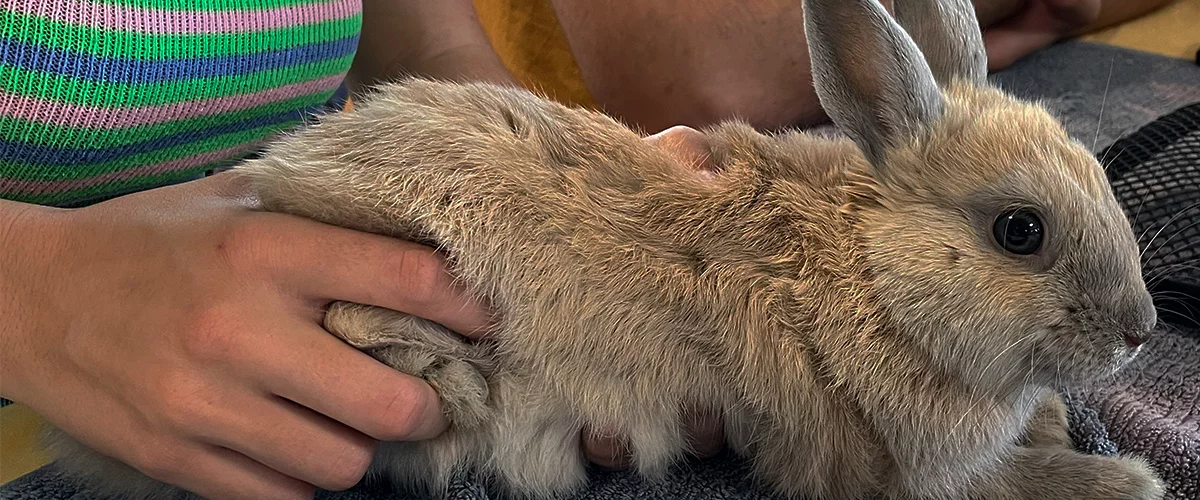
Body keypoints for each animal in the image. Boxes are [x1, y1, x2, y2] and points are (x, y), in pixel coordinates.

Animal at [43, 0, 1166, 498]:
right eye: (1019, 231)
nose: (1142, 332)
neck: (873, 277)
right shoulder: (884, 470)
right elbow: (1004, 484)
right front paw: (1123, 482)